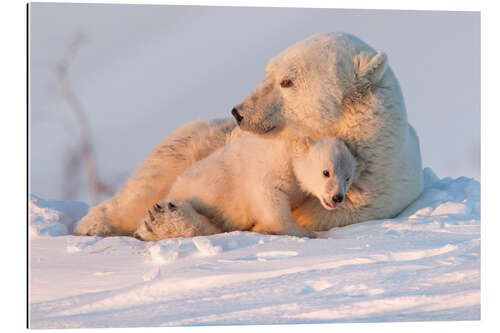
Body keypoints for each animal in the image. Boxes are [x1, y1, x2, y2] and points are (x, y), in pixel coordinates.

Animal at [76, 32, 424, 236]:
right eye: (268, 70)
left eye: (287, 81)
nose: (239, 112)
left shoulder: (365, 197)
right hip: (201, 139)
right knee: (151, 179)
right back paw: (97, 224)